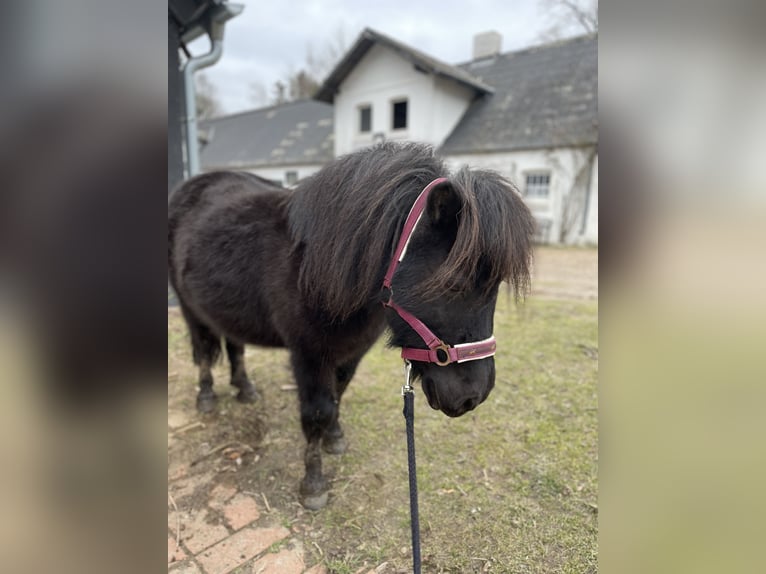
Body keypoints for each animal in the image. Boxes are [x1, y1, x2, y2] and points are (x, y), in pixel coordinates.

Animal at [168, 142, 536, 510]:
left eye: (498, 284)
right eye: (453, 284)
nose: (473, 397)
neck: (317, 267)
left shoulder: (351, 352)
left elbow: (338, 395)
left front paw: (335, 438)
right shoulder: (309, 356)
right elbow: (317, 411)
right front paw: (313, 484)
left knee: (235, 346)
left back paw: (245, 389)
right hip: (190, 310)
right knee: (203, 352)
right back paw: (206, 397)